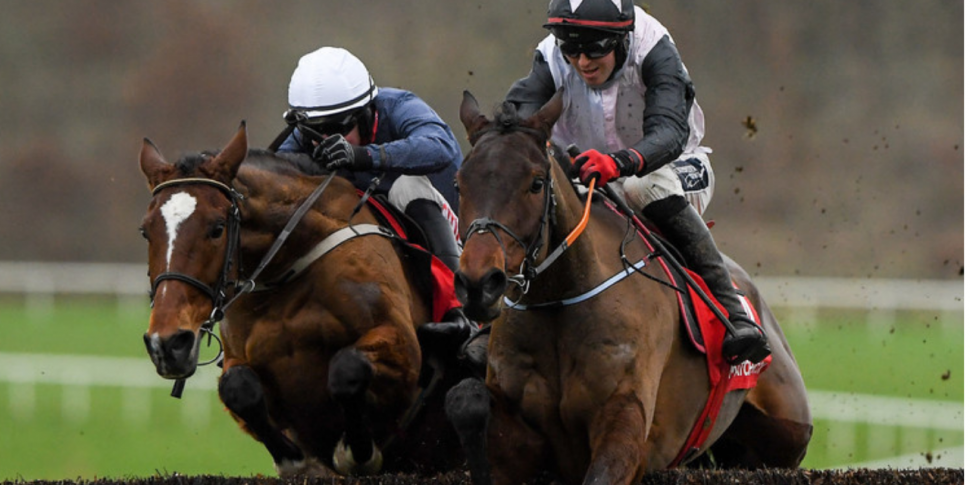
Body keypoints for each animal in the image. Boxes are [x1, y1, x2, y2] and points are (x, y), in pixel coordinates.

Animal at [139, 122, 466, 476]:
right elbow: (237, 387)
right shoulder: (241, 361)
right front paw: (295, 458)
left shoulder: (402, 346)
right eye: (145, 231)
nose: (167, 344)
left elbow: (348, 368)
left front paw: (356, 452)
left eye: (217, 227)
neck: (291, 262)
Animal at [444, 91, 808, 484]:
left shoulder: (627, 424)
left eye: (536, 183)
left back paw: (743, 331)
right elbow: (464, 398)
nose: (479, 283)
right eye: (459, 184)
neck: (558, 301)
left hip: (786, 432)